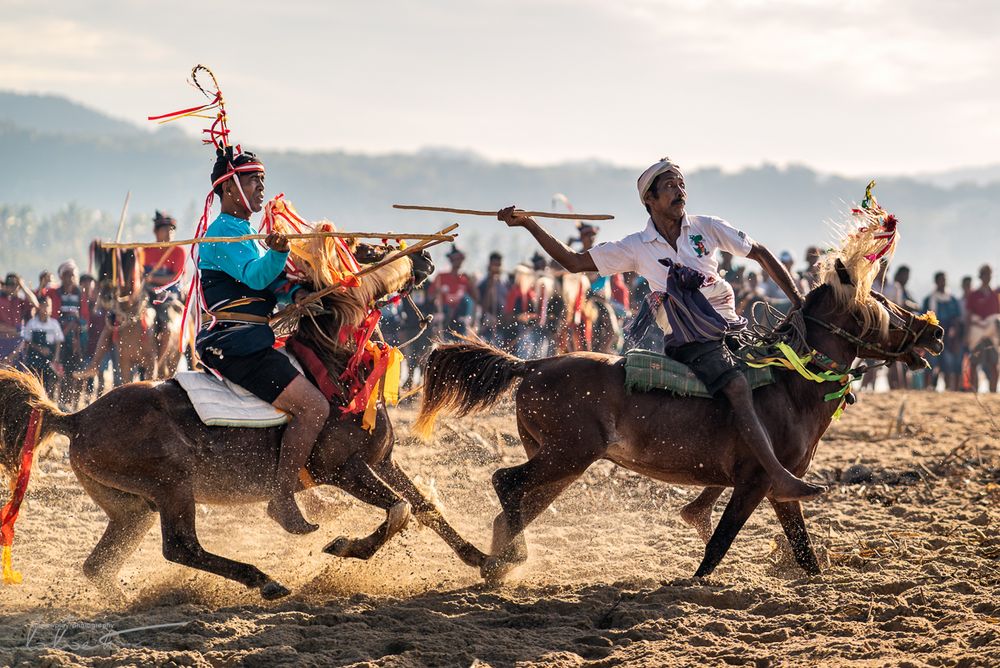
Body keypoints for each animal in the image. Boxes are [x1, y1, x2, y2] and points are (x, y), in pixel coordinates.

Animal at [0, 249, 484, 600]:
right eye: (365, 254)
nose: (425, 258)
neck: (336, 369)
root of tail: (76, 418)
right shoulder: (342, 469)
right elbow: (400, 510)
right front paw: (345, 547)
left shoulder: (381, 461)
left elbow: (426, 508)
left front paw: (487, 560)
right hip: (173, 487)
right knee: (181, 547)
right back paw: (263, 580)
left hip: (132, 509)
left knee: (100, 565)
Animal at [416, 258, 944, 580]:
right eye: (881, 304)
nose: (933, 334)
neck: (790, 386)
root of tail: (533, 364)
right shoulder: (758, 482)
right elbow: (720, 543)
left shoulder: (780, 490)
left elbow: (804, 551)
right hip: (567, 455)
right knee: (505, 482)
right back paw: (505, 560)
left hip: (559, 462)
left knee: (516, 503)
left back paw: (499, 564)